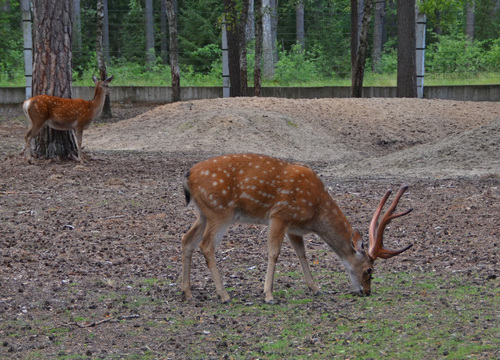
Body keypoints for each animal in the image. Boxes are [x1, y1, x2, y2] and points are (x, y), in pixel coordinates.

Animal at [182, 153, 412, 302]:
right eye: (369, 270)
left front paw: (316, 288)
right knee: (206, 245)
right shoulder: (279, 215)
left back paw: (187, 293)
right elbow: (274, 253)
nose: (367, 291)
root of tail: (188, 176)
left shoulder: (294, 227)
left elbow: (302, 253)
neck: (315, 213)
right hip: (219, 211)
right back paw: (224, 295)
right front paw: (269, 295)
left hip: (203, 213)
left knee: (187, 240)